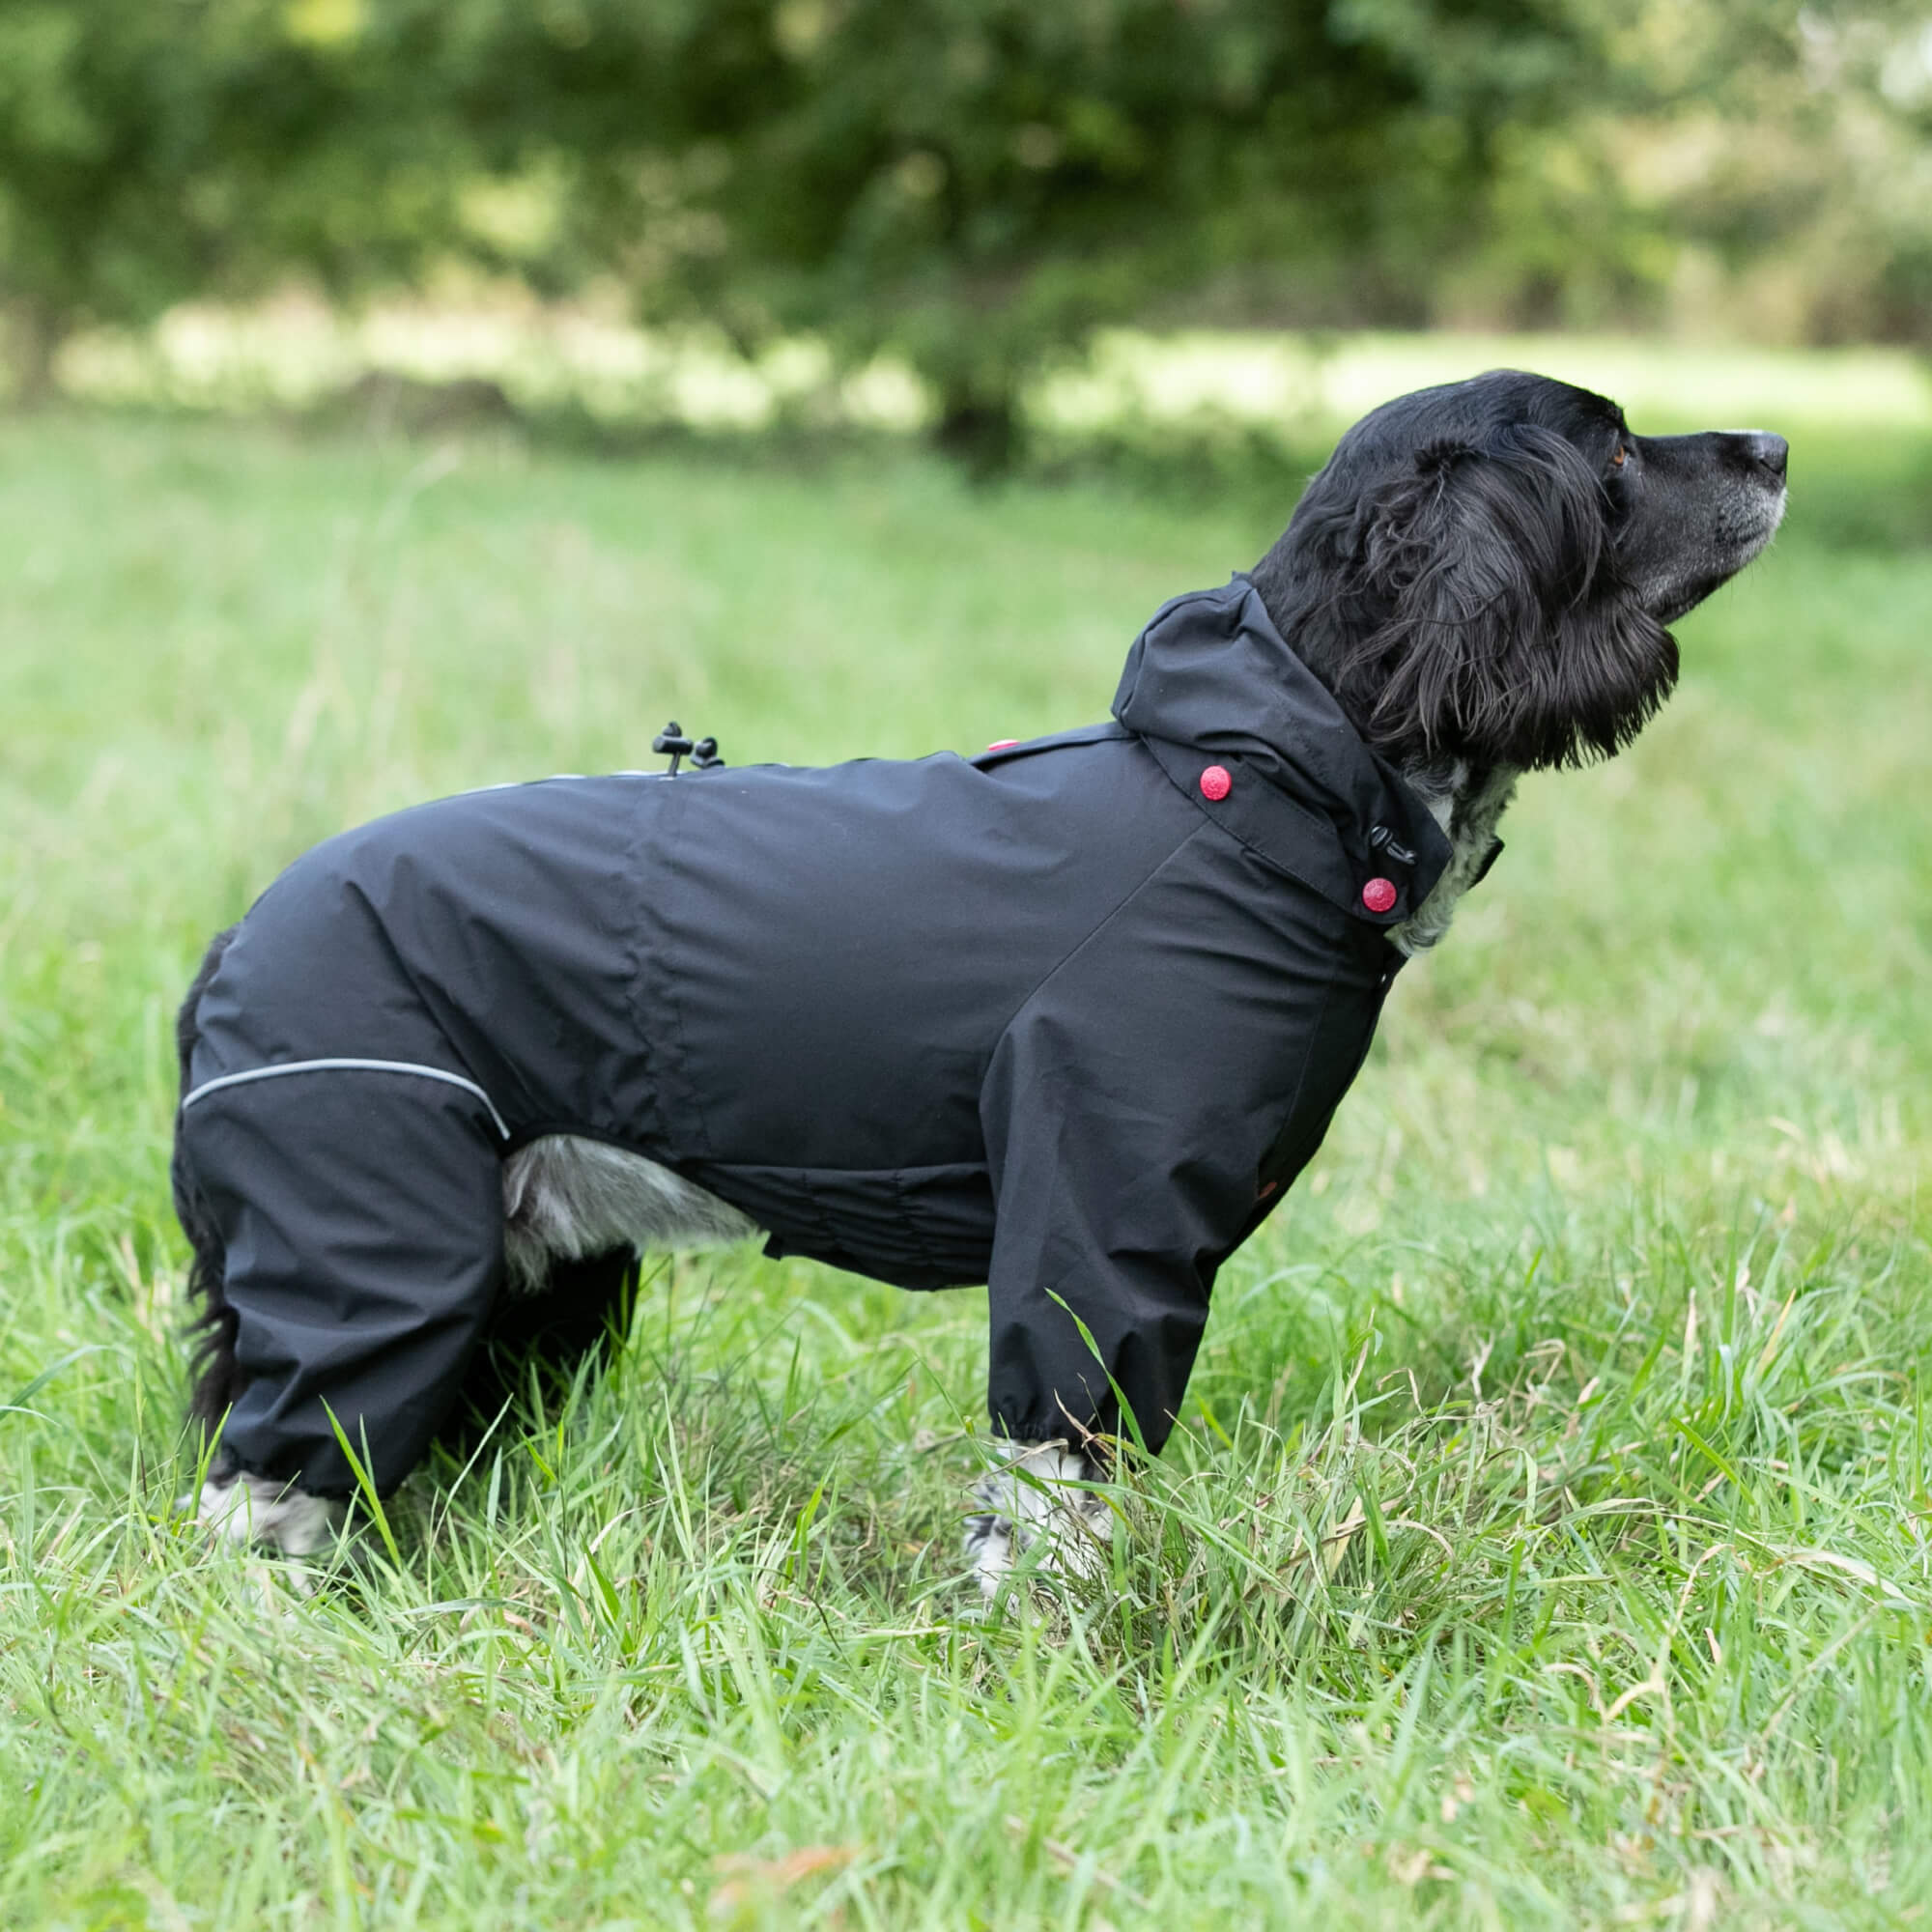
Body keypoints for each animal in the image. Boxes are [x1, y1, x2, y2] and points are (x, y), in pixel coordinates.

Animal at [174, 369, 1785, 1577]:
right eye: (1618, 446)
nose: (1775, 443)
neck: (1255, 783)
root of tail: (235, 938)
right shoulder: (1098, 1228)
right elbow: (1053, 1496)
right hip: (374, 1257)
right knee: (268, 1486)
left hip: (524, 1283)